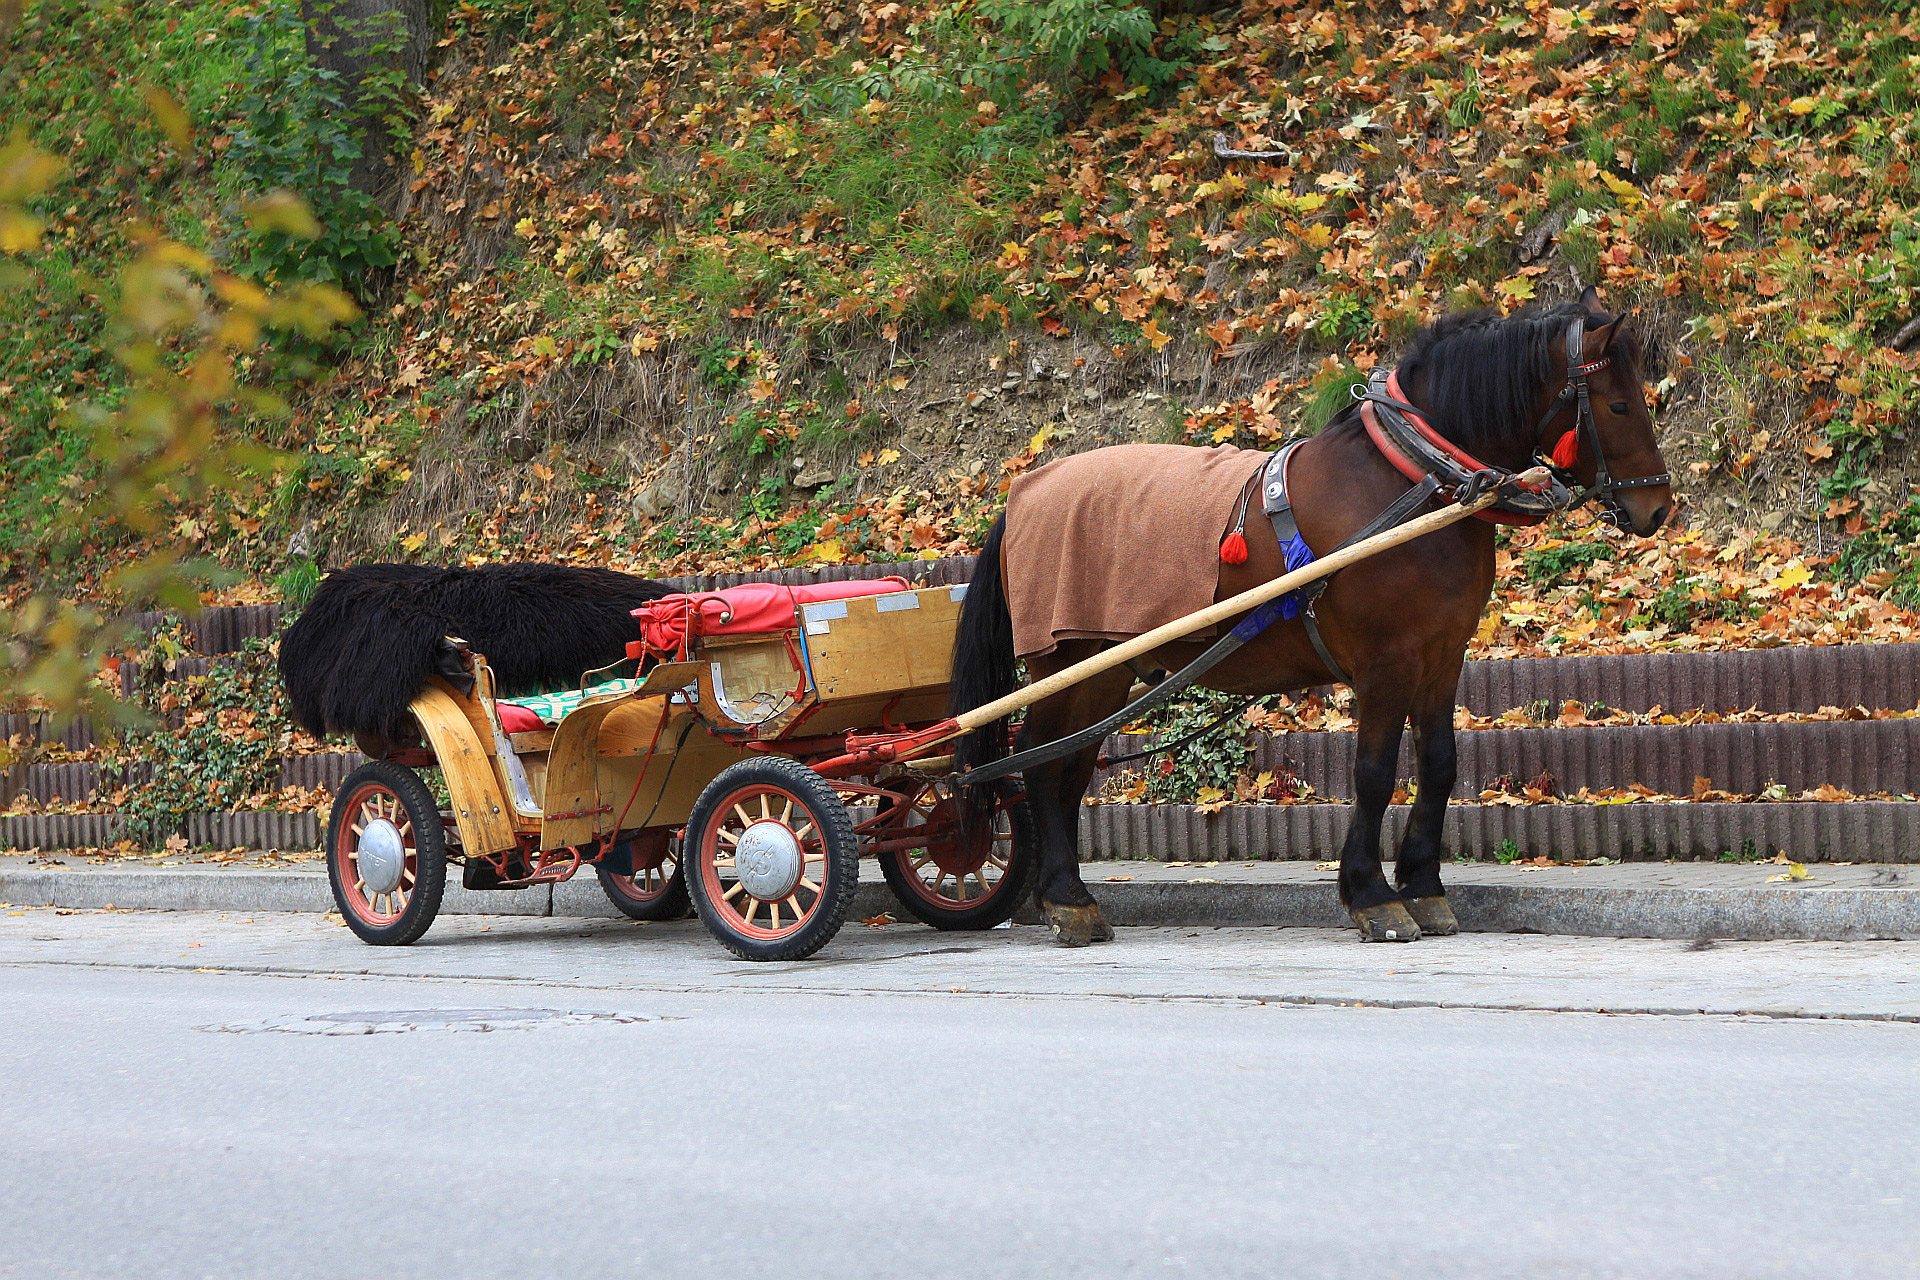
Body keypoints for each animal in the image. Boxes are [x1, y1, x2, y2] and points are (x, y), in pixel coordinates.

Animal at [952, 293, 1674, 951]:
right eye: (1617, 405)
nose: (1659, 509)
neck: (1411, 481)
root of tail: (1022, 496)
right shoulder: (1387, 662)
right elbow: (1375, 774)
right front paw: (1372, 895)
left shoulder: (1442, 656)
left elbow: (1439, 764)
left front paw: (1423, 885)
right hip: (1069, 661)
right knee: (1039, 762)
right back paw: (1066, 899)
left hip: (1106, 670)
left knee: (1068, 766)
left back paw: (1068, 895)